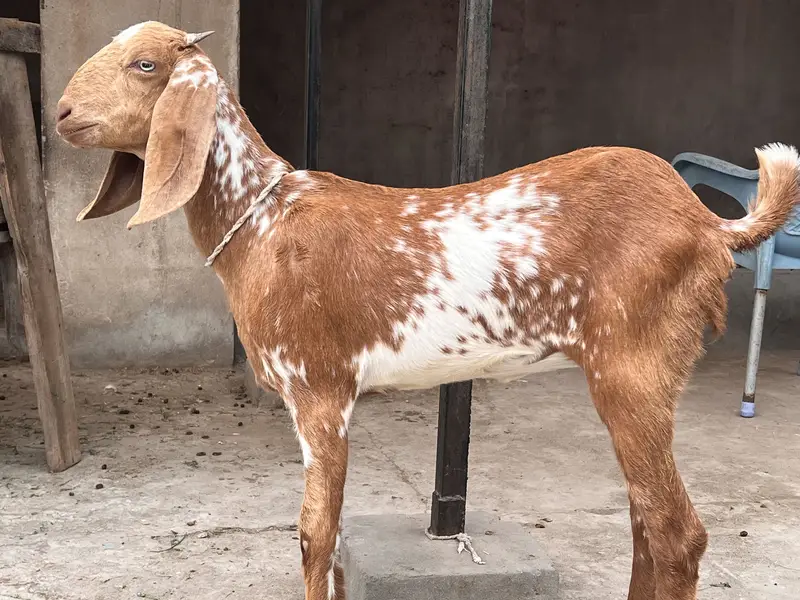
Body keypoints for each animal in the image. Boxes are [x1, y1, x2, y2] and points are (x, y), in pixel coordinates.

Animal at [56, 21, 799, 600]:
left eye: (145, 64)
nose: (61, 113)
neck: (263, 221)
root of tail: (709, 224)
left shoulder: (320, 388)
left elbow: (315, 535)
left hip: (634, 364)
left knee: (676, 533)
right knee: (647, 521)